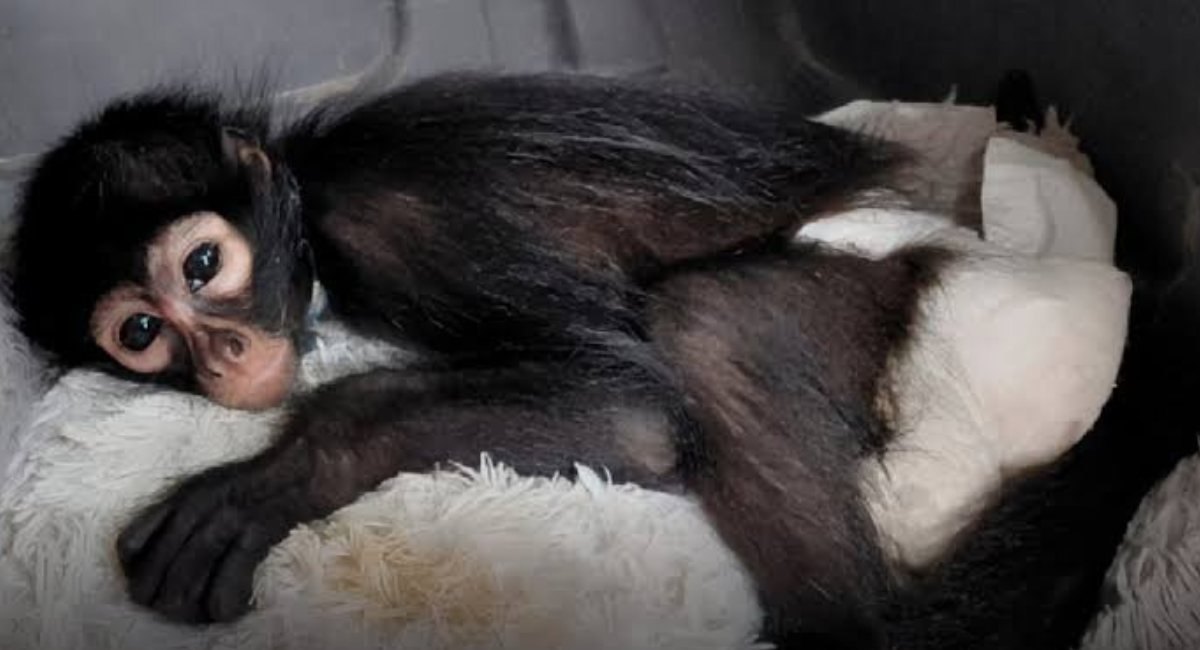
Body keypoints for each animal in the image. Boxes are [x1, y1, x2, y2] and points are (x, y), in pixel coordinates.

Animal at [6, 72, 1185, 650]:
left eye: (204, 264)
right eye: (141, 333)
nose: (227, 354)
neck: (308, 188)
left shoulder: (408, 216)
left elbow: (639, 421)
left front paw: (274, 480)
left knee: (706, 320)